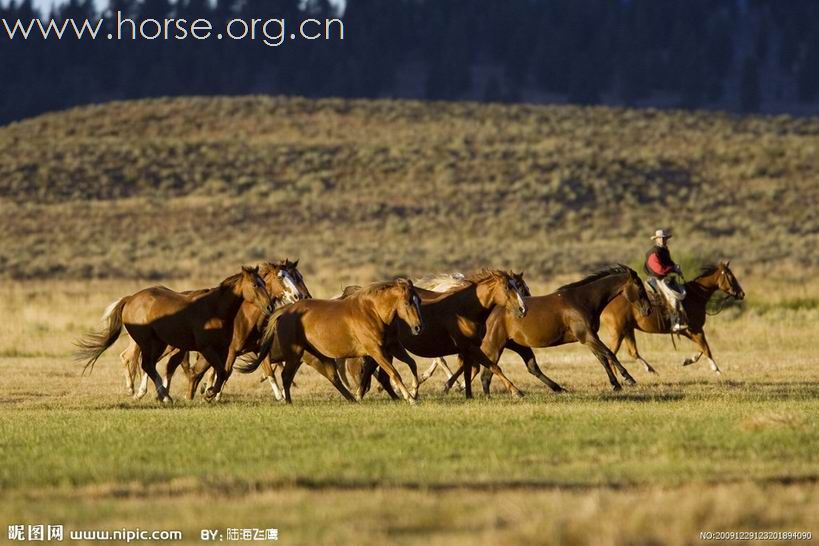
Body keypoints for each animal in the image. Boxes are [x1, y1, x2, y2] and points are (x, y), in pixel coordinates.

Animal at [75, 266, 272, 402]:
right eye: (255, 284)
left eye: (264, 282)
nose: (270, 306)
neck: (215, 309)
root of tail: (130, 299)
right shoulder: (206, 348)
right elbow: (218, 371)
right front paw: (208, 392)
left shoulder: (223, 349)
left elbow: (223, 372)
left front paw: (209, 392)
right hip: (148, 343)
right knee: (146, 365)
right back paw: (163, 396)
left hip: (159, 343)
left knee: (149, 365)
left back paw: (159, 394)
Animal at [237, 278, 426, 402]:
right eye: (407, 302)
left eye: (418, 300)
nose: (418, 328)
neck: (373, 312)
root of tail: (285, 310)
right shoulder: (375, 350)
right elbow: (394, 373)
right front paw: (410, 398)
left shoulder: (392, 346)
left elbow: (412, 364)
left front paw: (415, 392)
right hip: (295, 354)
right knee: (282, 373)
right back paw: (288, 401)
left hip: (315, 356)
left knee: (331, 377)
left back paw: (351, 400)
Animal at [462, 264, 652, 392]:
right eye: (639, 287)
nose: (648, 310)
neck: (582, 300)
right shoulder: (588, 336)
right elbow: (609, 354)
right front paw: (628, 379)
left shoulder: (588, 339)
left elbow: (602, 358)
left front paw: (616, 384)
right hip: (494, 346)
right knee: (486, 374)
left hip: (517, 345)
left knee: (530, 368)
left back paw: (558, 388)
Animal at [600, 260, 748, 374]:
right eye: (731, 277)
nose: (741, 293)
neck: (694, 296)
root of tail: (606, 305)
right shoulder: (695, 329)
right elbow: (706, 348)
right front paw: (716, 369)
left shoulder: (689, 331)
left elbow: (701, 348)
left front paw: (687, 361)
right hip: (618, 332)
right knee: (611, 354)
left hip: (628, 330)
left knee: (632, 352)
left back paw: (649, 370)